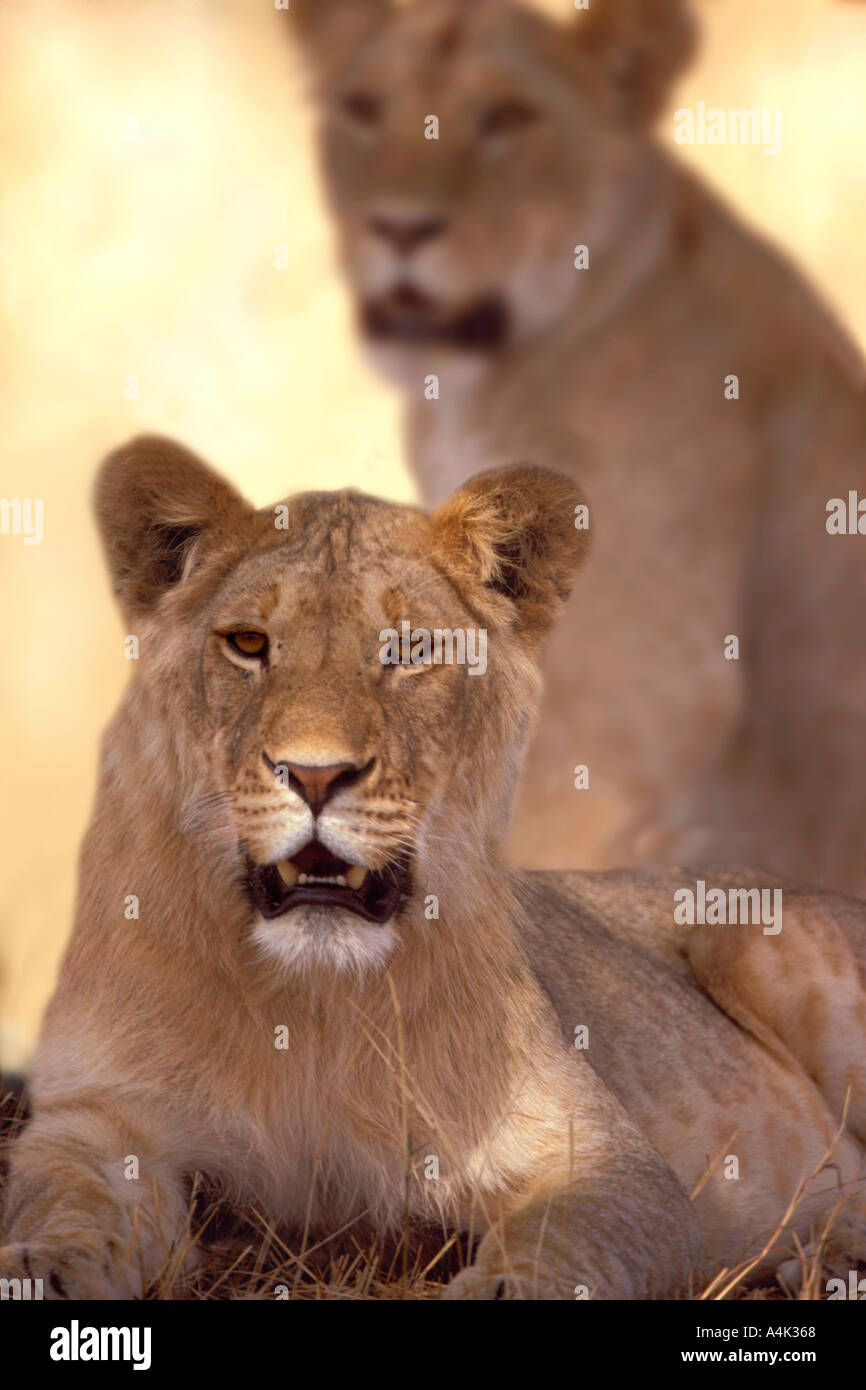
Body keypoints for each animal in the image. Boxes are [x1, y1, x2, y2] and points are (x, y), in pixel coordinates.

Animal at [1, 434, 864, 1300]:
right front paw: (41, 1270)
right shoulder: (96, 1119)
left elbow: (562, 1244)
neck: (309, 1005)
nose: (315, 775)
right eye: (248, 644)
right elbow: (66, 1202)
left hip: (749, 938)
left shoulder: (608, 1164)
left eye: (409, 650)